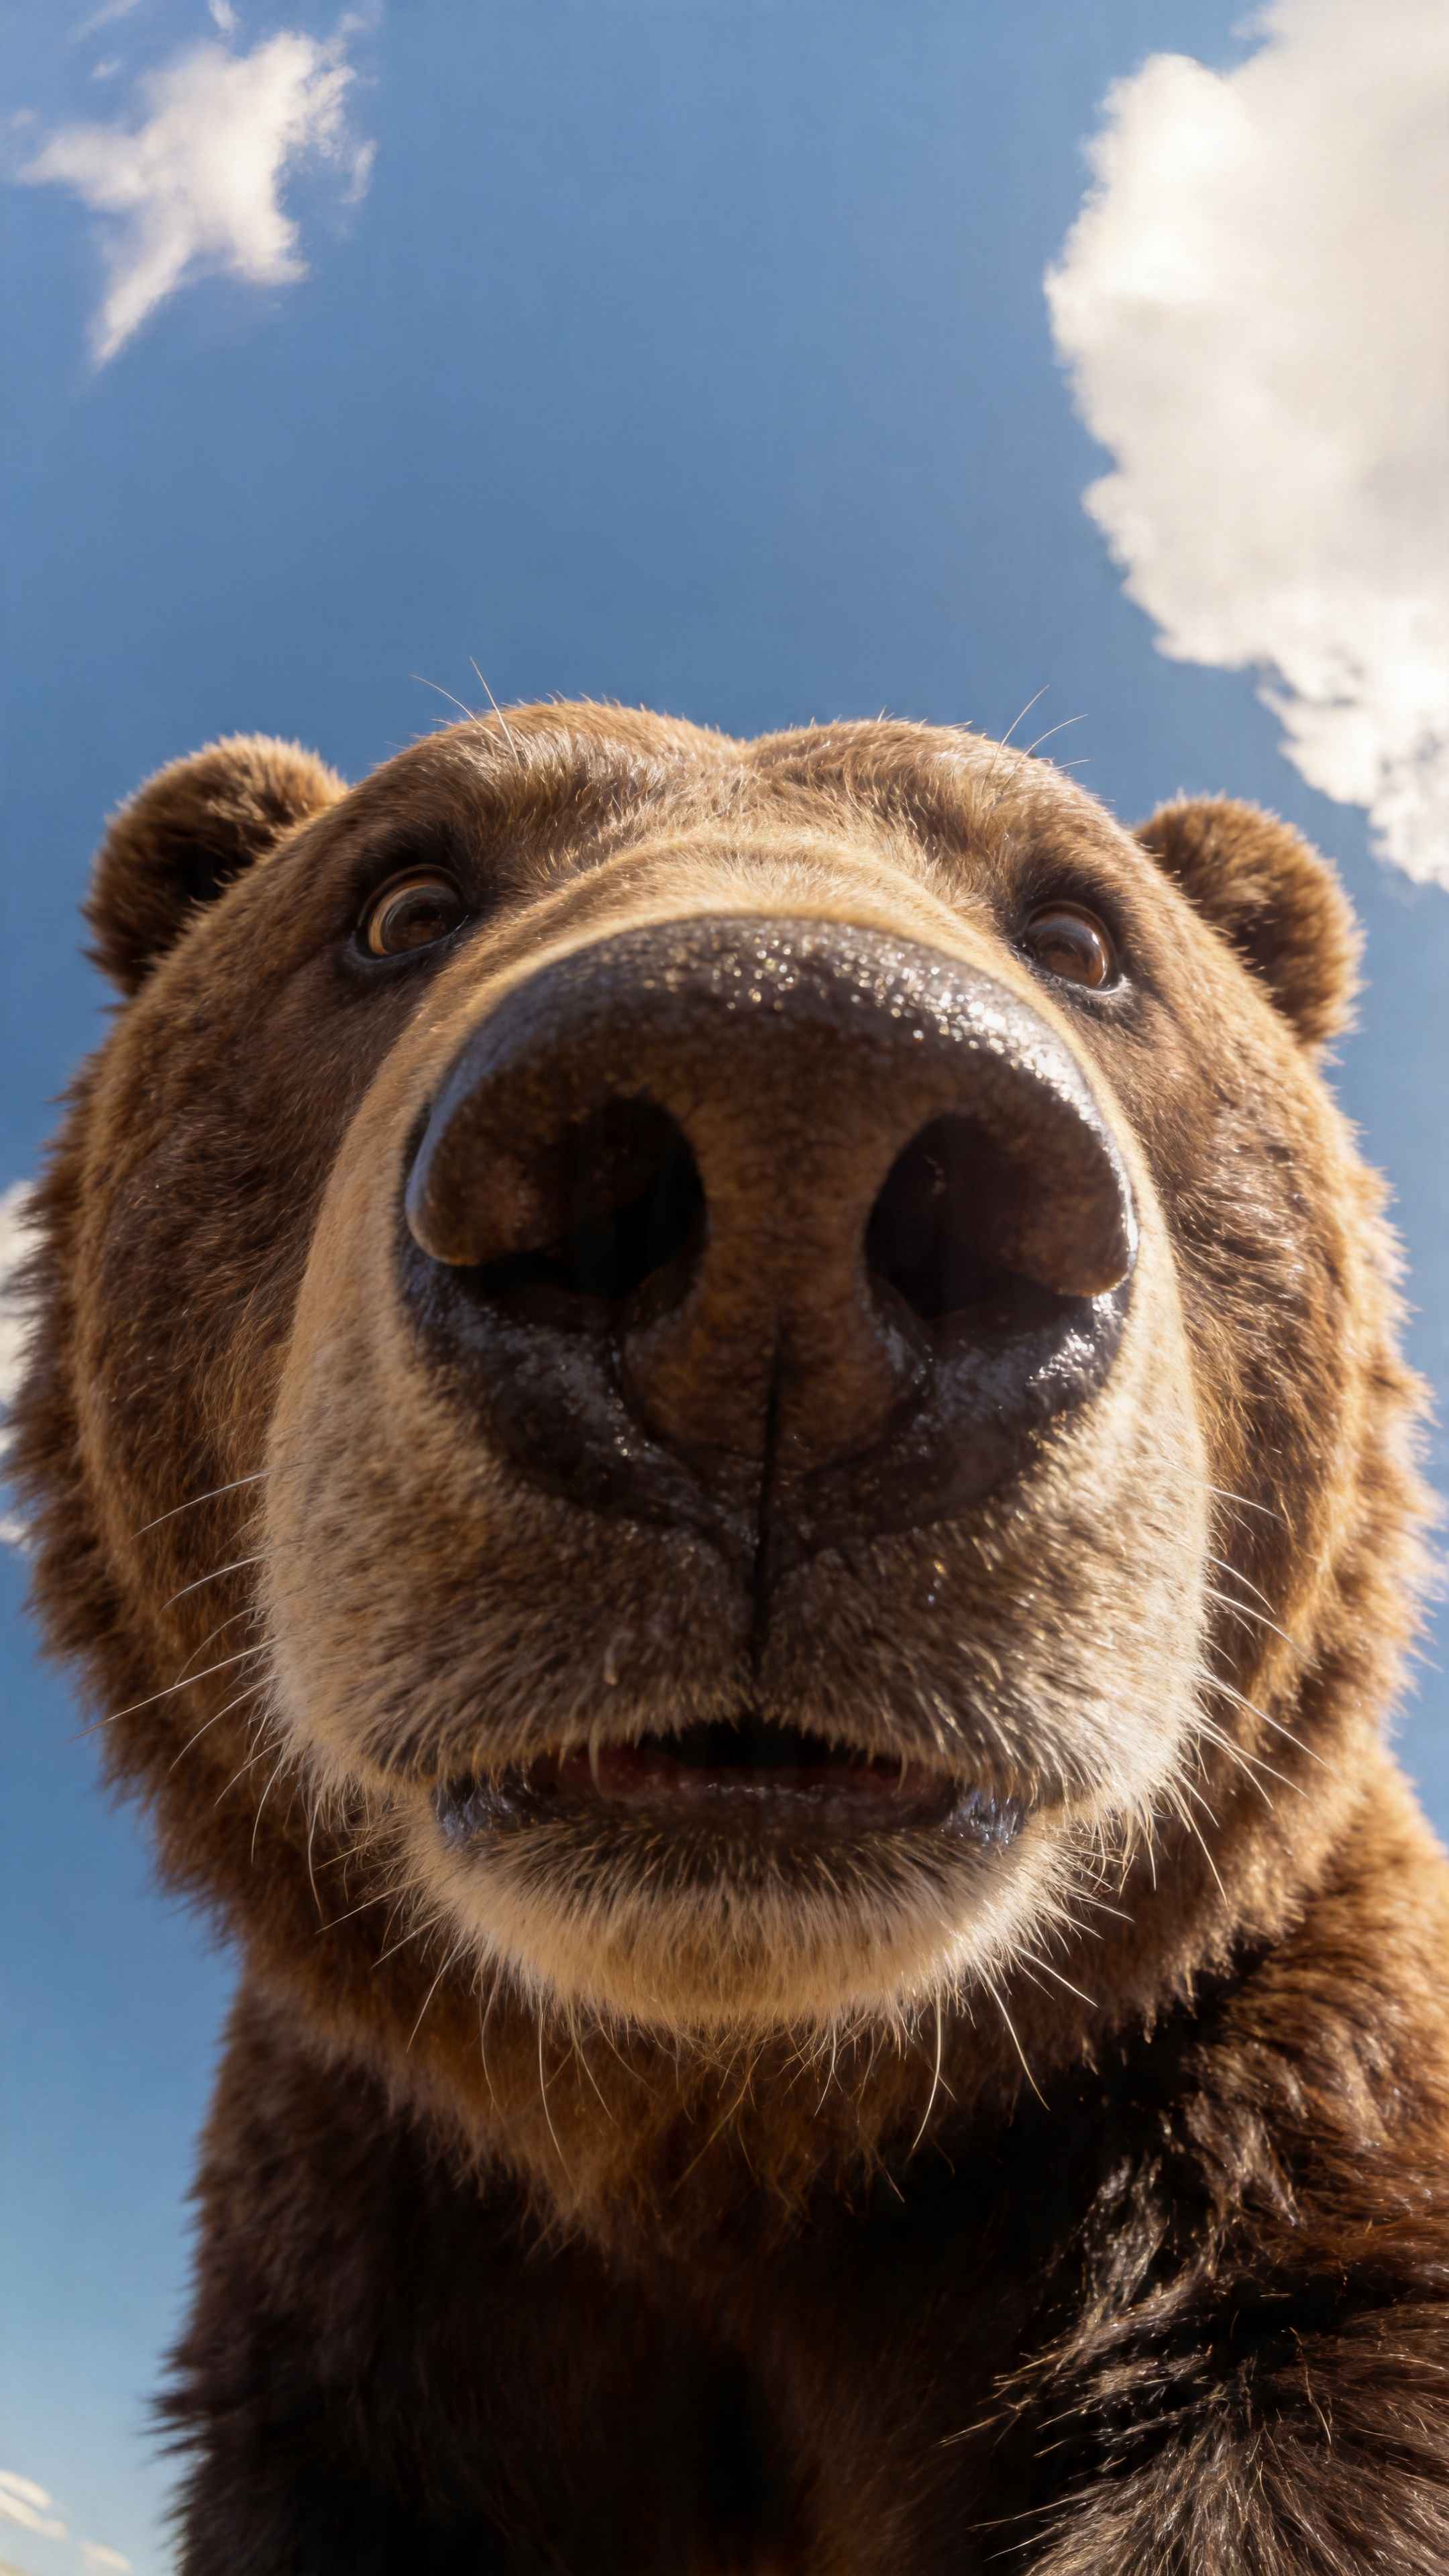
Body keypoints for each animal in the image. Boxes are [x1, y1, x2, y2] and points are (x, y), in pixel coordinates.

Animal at [12, 701, 1449, 2574]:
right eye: (401, 898)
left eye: (1081, 932)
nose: (790, 1111)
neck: (733, 2116)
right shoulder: (367, 2283)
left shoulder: (1278, 2142)